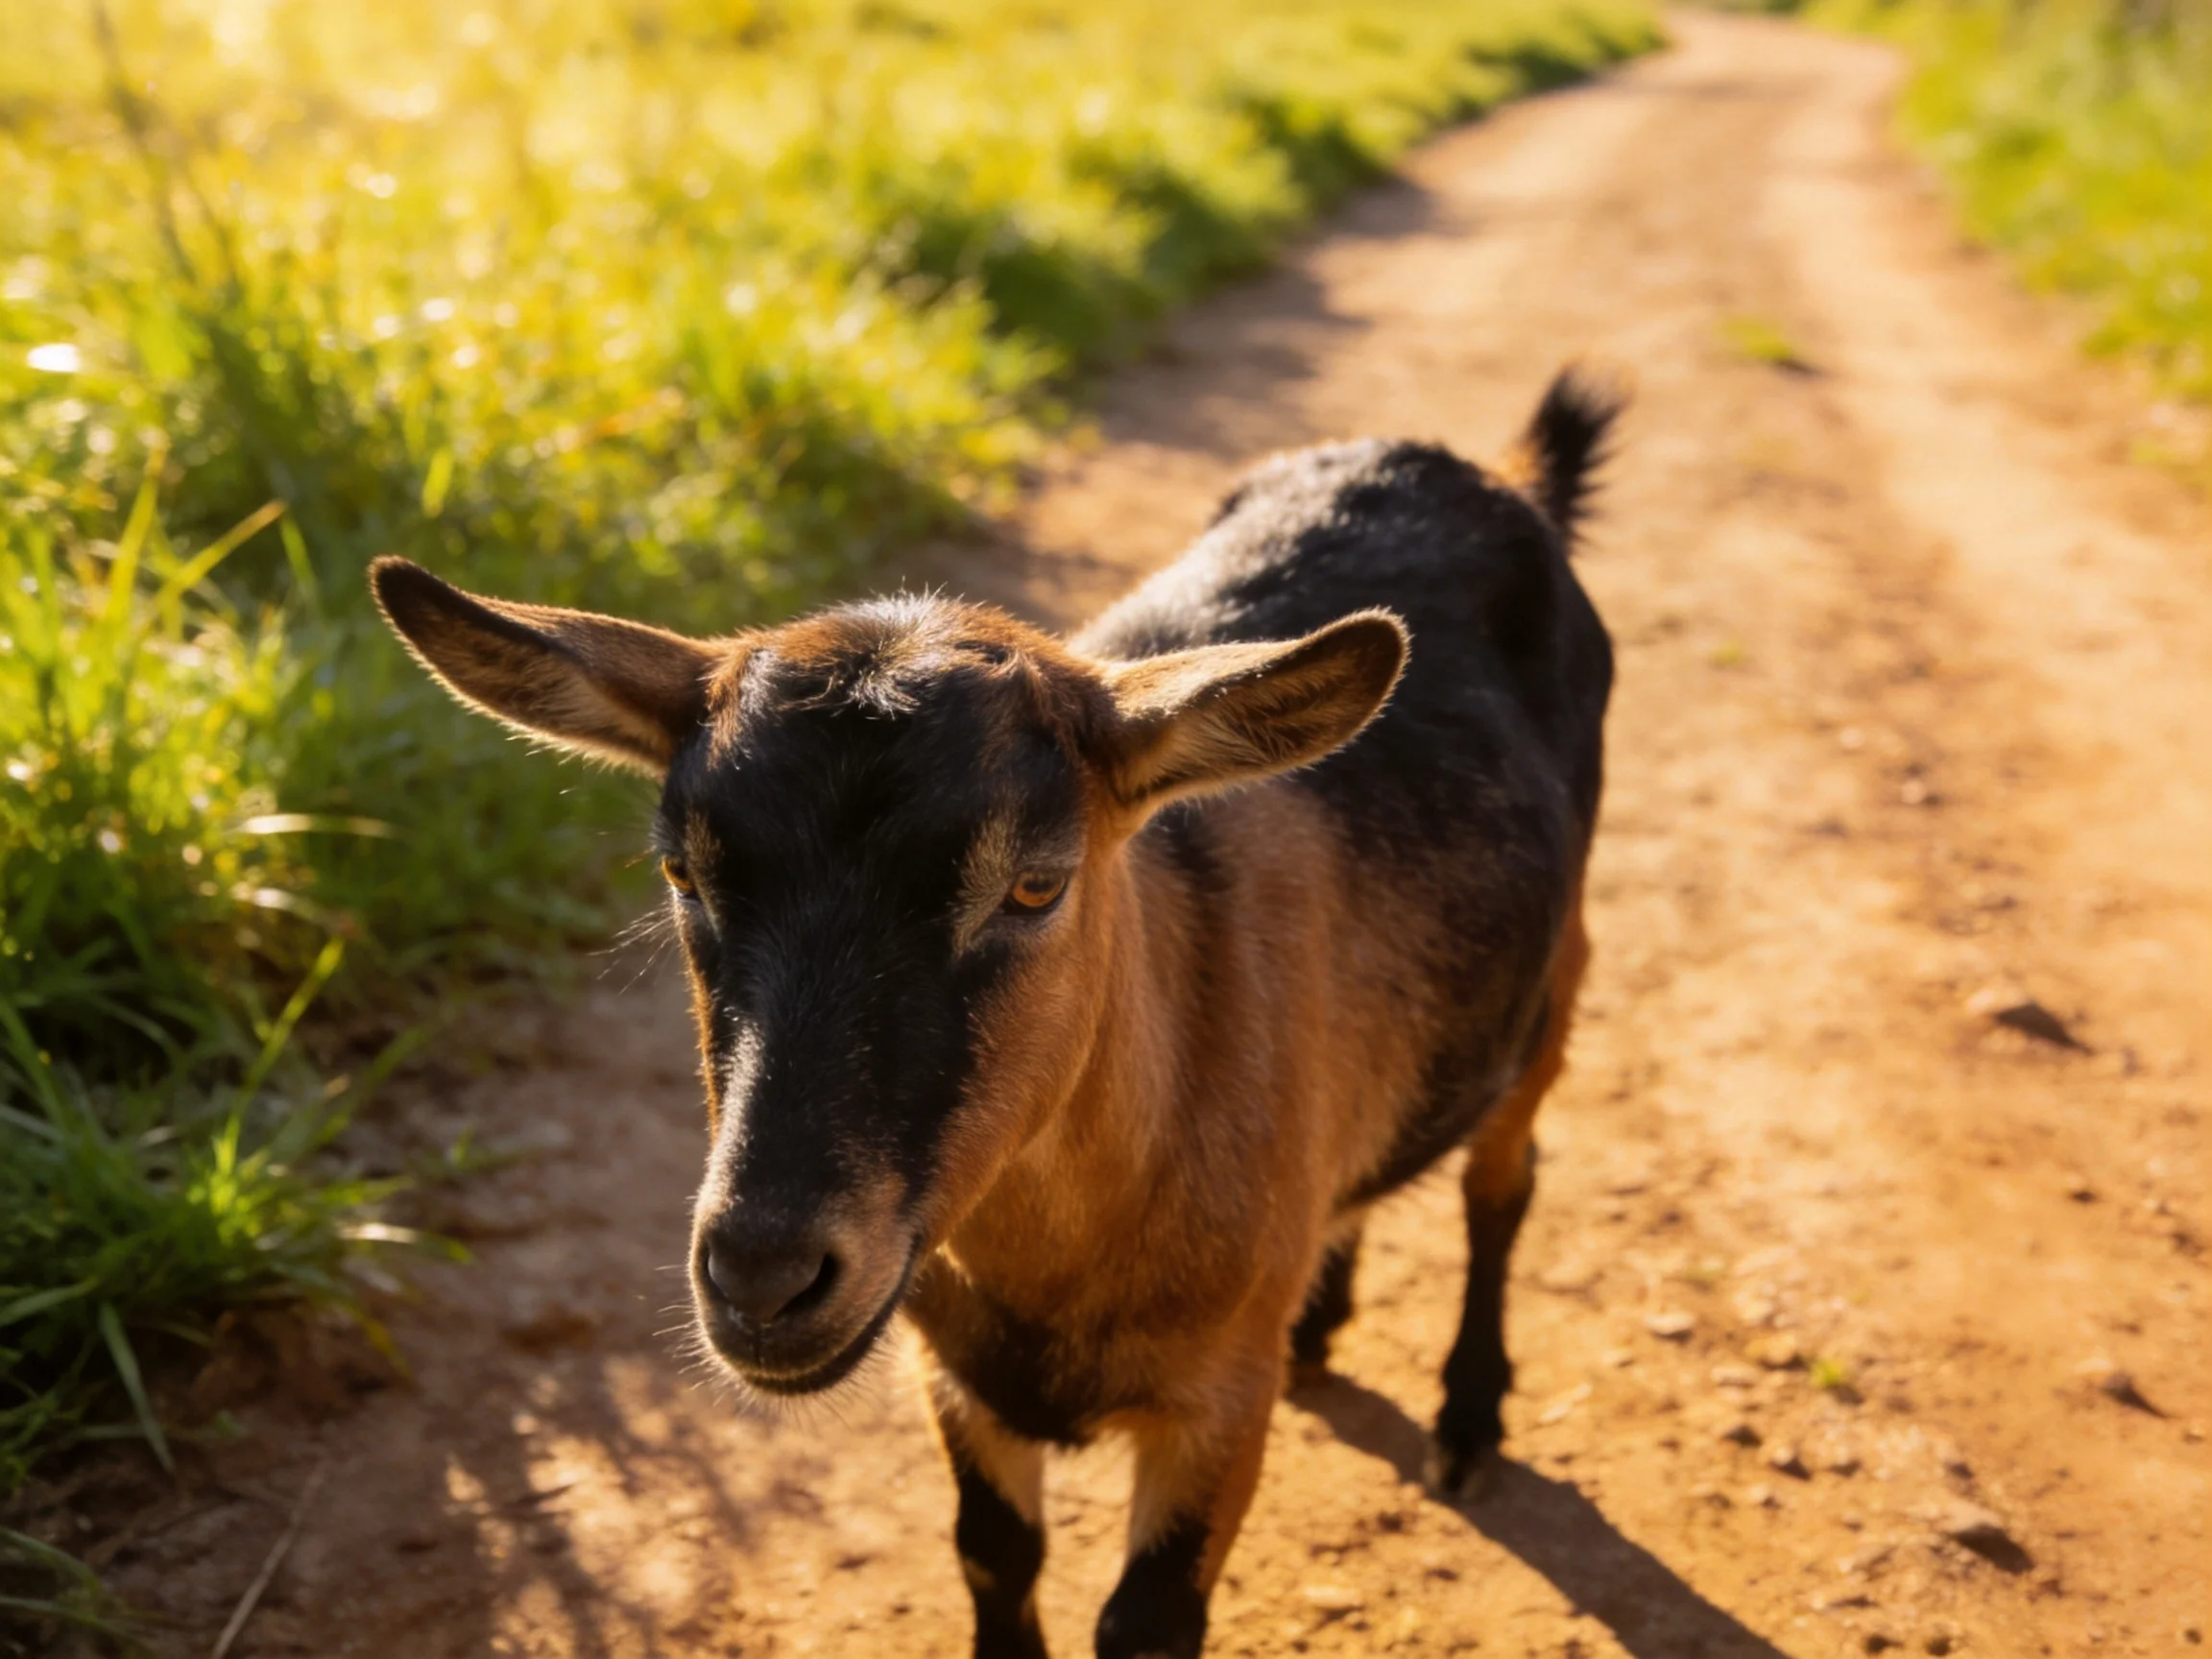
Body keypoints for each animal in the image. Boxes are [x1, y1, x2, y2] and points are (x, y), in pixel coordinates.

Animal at [370, 363, 1621, 1659]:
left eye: (1036, 884)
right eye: (683, 873)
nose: (763, 1277)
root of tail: (1493, 475)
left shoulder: (1218, 1401)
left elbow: (1146, 1621)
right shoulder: (953, 1372)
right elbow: (994, 1552)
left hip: (1558, 976)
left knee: (1501, 1185)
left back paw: (1468, 1420)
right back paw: (1327, 1320)